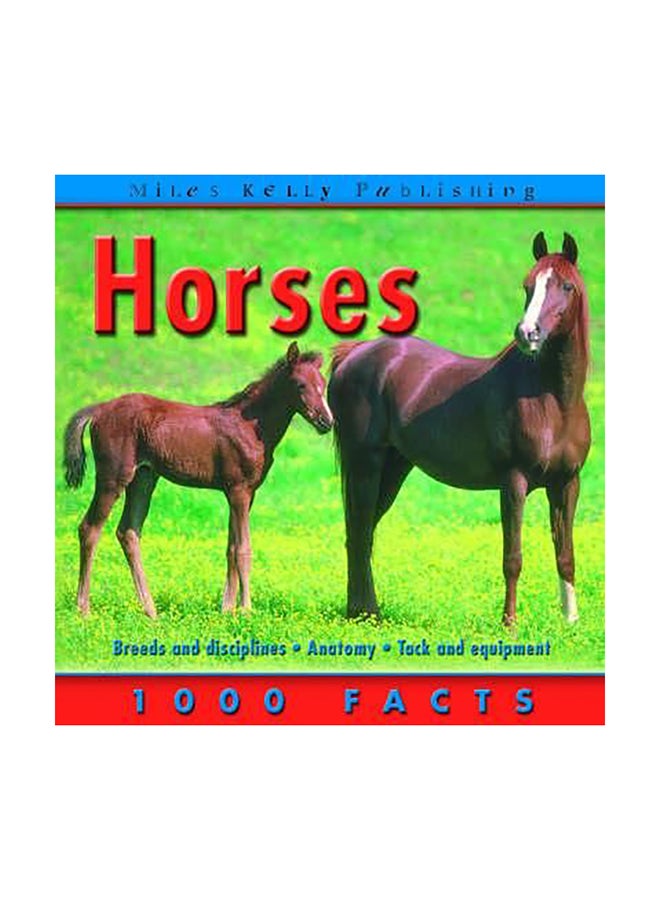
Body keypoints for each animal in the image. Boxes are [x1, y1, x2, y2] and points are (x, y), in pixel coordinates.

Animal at [63, 341, 333, 618]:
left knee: (128, 532)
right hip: (113, 477)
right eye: (300, 384)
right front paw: (245, 610)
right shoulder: (239, 490)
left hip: (143, 479)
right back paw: (83, 609)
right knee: (89, 528)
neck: (252, 426)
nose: (327, 421)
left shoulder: (244, 493)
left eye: (323, 383)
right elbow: (243, 549)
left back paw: (151, 611)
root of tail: (98, 409)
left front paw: (227, 609)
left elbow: (231, 548)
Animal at [328, 232, 591, 625]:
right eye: (528, 286)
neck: (554, 401)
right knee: (359, 534)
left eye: (566, 286)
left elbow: (566, 554)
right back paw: (365, 613)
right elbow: (512, 558)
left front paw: (570, 622)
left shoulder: (567, 483)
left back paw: (362, 612)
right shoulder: (514, 482)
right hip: (365, 464)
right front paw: (510, 623)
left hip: (393, 467)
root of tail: (354, 353)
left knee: (363, 532)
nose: (527, 333)